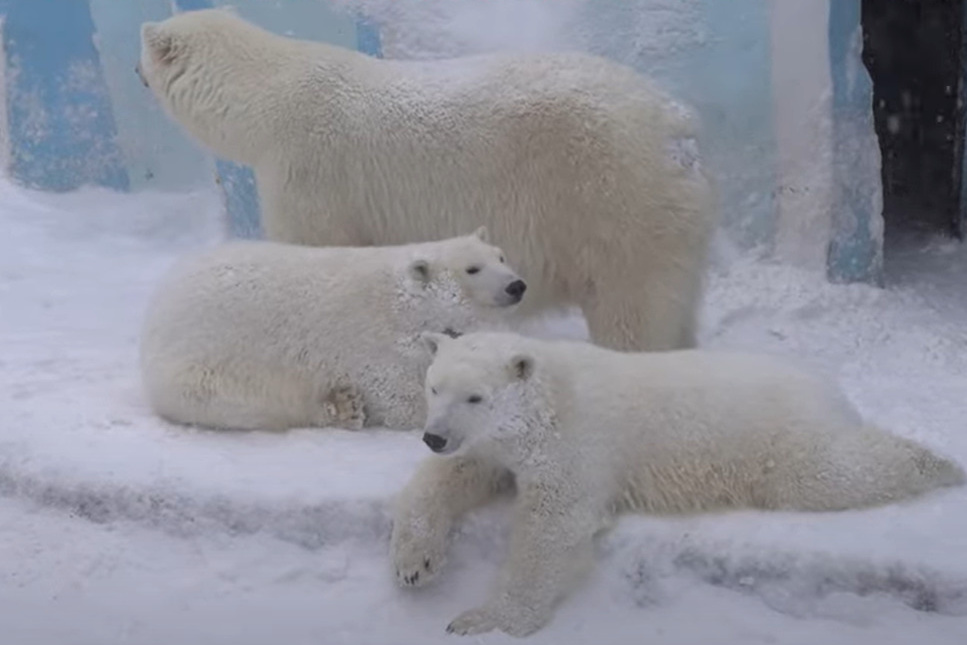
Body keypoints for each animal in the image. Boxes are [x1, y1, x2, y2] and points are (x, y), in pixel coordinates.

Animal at [136, 8, 716, 352]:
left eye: (142, 54)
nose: (138, 72)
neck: (268, 98)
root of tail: (677, 125)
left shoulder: (309, 170)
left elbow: (314, 245)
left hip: (611, 197)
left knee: (631, 311)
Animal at [139, 229, 524, 430]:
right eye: (472, 268)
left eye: (501, 256)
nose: (516, 285)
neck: (410, 305)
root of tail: (158, 304)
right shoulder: (378, 344)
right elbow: (399, 399)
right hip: (205, 361)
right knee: (237, 402)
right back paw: (342, 407)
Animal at [390, 332, 964, 632]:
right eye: (434, 386)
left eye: (476, 396)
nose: (434, 436)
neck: (550, 397)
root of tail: (830, 389)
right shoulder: (496, 445)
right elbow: (457, 475)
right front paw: (413, 565)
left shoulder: (576, 442)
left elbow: (553, 525)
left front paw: (483, 618)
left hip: (774, 437)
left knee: (827, 472)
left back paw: (938, 462)